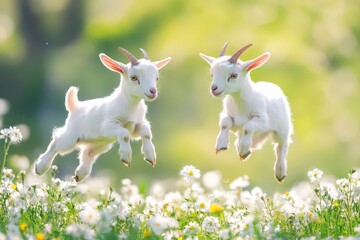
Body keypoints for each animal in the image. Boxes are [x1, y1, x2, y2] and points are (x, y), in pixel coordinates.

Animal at [35, 47, 172, 182]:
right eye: (134, 77)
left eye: (157, 78)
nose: (153, 91)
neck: (131, 107)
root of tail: (75, 107)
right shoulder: (108, 126)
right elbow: (124, 135)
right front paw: (126, 157)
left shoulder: (136, 126)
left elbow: (146, 131)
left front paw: (150, 157)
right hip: (71, 138)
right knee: (56, 143)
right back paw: (40, 167)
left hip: (100, 145)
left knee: (87, 153)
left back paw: (80, 174)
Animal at [200, 43, 292, 182]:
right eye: (212, 74)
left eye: (233, 75)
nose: (214, 88)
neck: (240, 106)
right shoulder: (230, 117)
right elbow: (225, 122)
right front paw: (221, 145)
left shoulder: (262, 120)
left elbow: (248, 126)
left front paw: (244, 150)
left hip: (283, 129)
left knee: (281, 146)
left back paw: (280, 172)